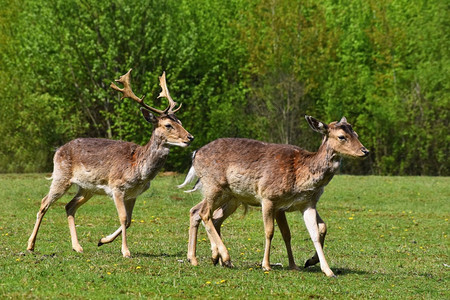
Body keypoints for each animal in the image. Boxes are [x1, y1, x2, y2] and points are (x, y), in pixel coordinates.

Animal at [26, 69, 192, 256]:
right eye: (168, 125)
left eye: (181, 122)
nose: (190, 137)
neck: (139, 169)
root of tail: (58, 150)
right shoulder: (117, 187)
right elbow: (123, 218)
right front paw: (125, 251)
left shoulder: (133, 194)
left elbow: (129, 220)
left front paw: (102, 240)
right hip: (61, 176)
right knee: (44, 202)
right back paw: (30, 245)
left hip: (87, 188)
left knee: (69, 206)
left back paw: (77, 246)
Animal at [179, 115, 370, 276]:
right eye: (342, 137)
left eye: (356, 133)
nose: (365, 151)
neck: (301, 175)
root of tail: (195, 154)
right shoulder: (268, 197)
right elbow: (270, 231)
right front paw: (266, 265)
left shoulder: (305, 204)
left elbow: (314, 231)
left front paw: (318, 267)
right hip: (213, 186)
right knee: (205, 213)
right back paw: (222, 257)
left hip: (231, 197)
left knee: (203, 213)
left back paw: (207, 258)